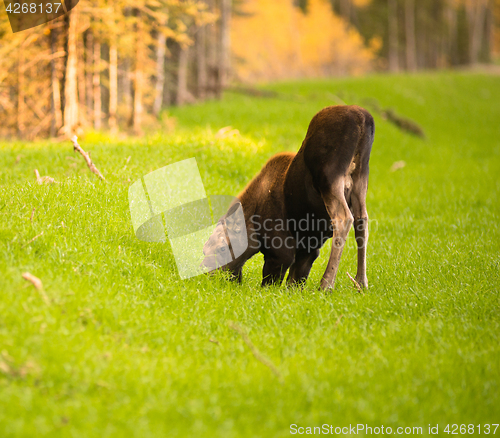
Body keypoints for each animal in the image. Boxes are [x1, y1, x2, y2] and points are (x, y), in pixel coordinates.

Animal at [201, 105, 374, 290]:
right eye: (204, 249)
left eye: (222, 248)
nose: (205, 273)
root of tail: (362, 119)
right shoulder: (308, 248)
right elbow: (295, 281)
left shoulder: (281, 250)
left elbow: (272, 280)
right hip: (361, 178)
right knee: (362, 219)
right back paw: (361, 282)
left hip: (329, 177)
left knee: (343, 218)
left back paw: (326, 284)